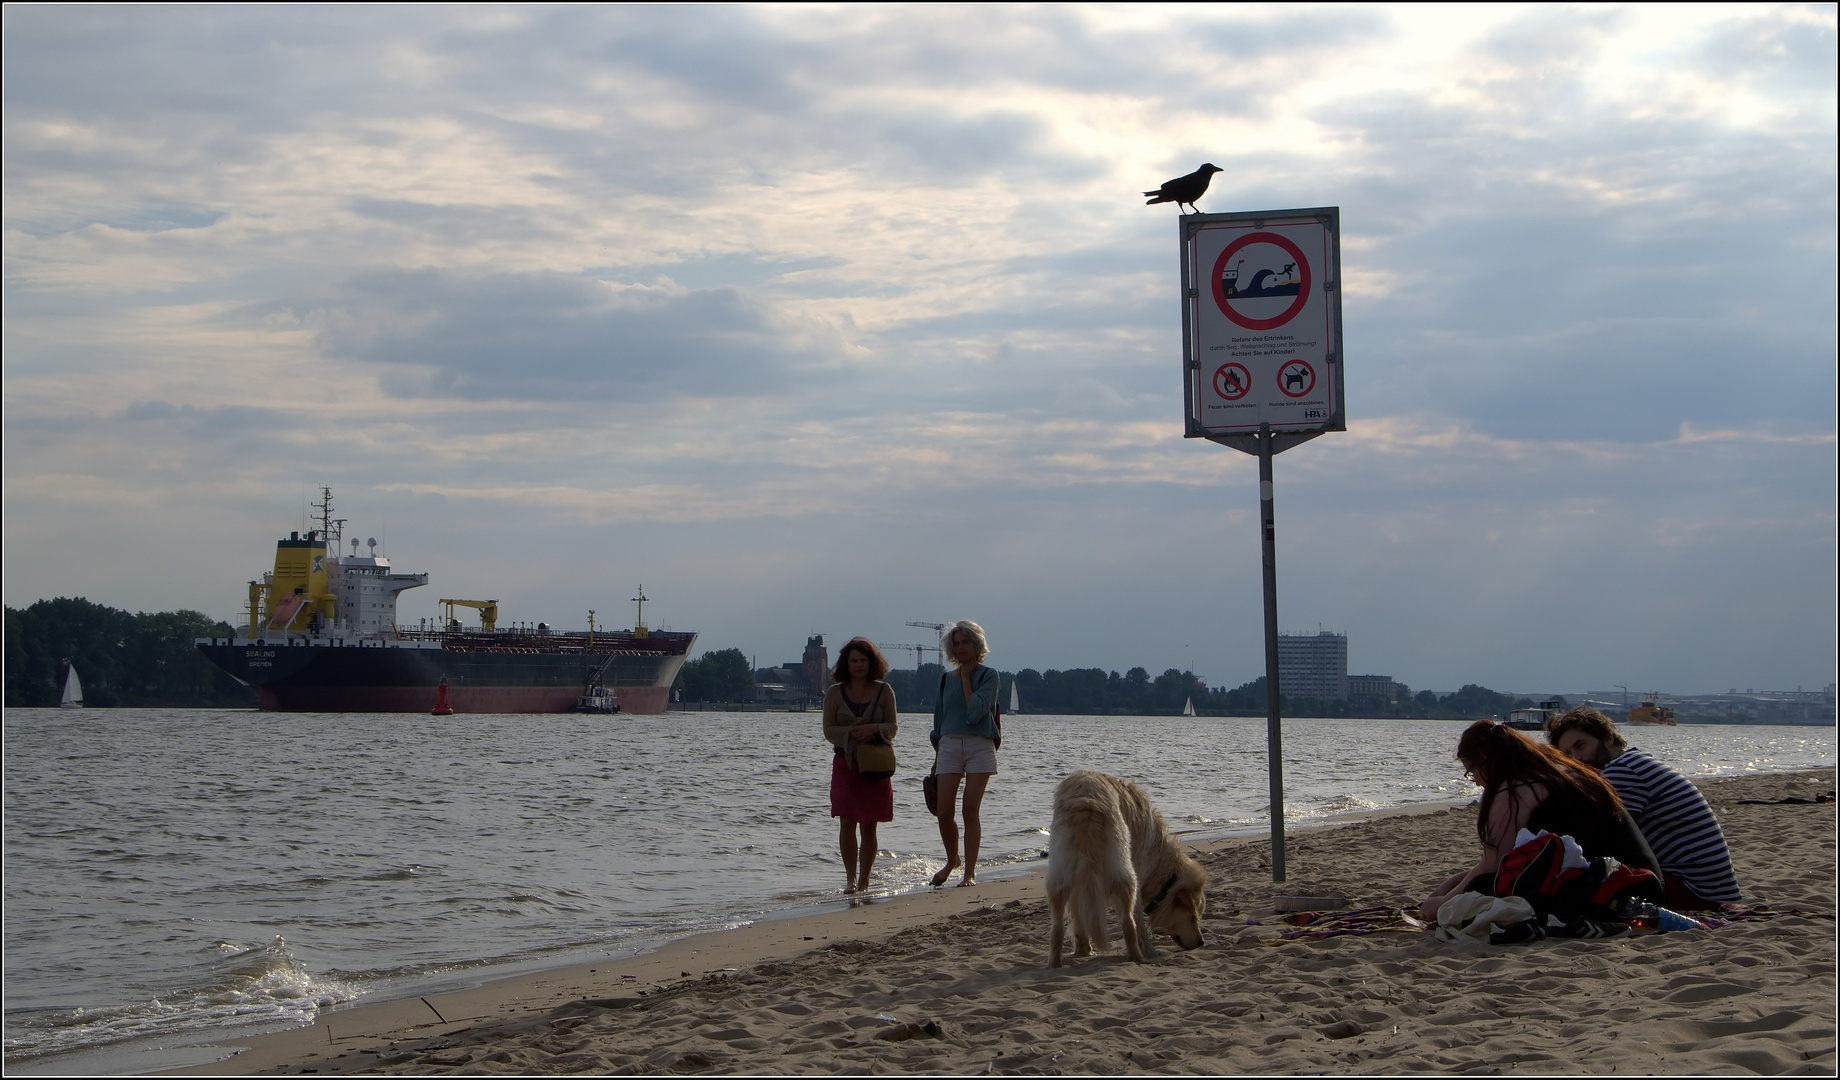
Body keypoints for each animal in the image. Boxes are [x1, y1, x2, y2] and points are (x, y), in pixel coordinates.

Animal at [1052, 769, 1207, 971]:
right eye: (1193, 918)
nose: (1201, 942)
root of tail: (1087, 799)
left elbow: (1079, 916)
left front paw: (1083, 950)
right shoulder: (1139, 877)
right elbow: (1140, 923)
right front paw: (1150, 951)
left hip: (1059, 875)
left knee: (1057, 926)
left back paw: (1053, 964)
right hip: (1126, 874)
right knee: (1128, 924)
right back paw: (1138, 957)